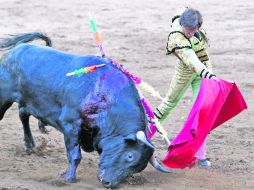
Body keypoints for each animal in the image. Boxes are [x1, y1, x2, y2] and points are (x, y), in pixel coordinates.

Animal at [0, 33, 171, 189]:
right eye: (130, 156)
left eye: (138, 168)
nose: (108, 183)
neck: (104, 96)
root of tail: (16, 50)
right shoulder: (70, 124)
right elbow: (75, 154)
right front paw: (68, 177)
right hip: (4, 97)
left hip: (27, 101)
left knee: (23, 114)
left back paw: (30, 145)